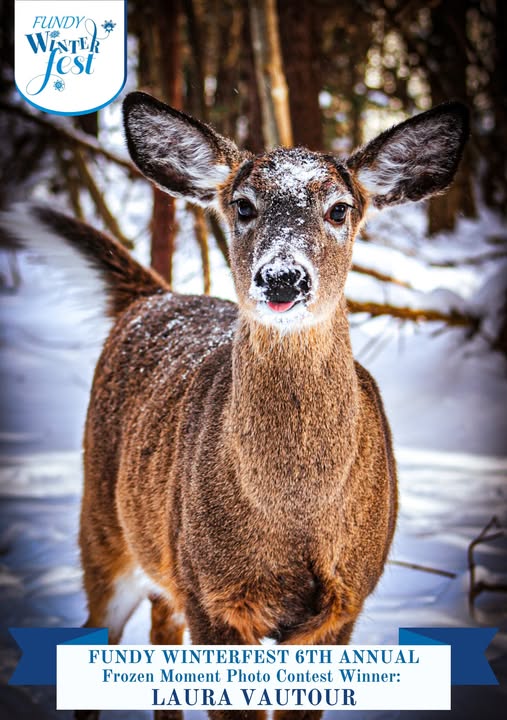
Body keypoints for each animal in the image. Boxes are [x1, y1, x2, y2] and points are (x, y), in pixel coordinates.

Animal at [3, 94, 468, 720]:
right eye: (243, 206)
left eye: (340, 209)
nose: (283, 276)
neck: (294, 514)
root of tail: (152, 298)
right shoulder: (213, 593)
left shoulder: (343, 604)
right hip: (103, 523)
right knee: (98, 633)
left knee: (160, 634)